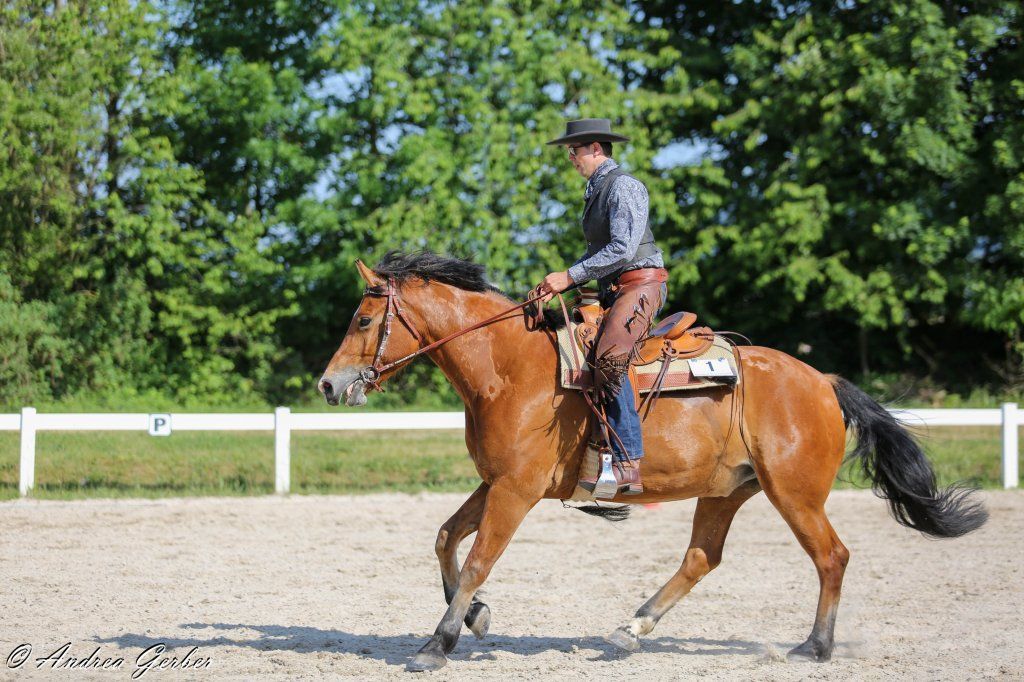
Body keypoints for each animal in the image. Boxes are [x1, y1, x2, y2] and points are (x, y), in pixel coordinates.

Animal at [317, 251, 987, 672]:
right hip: (726, 490)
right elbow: (445, 537)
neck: (509, 370)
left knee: (831, 556)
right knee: (701, 557)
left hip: (794, 493)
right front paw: (474, 616)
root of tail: (821, 381)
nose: (328, 385)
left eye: (364, 318)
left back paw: (814, 647)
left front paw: (439, 642)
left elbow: (480, 556)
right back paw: (632, 628)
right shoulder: (497, 483)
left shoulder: (516, 490)